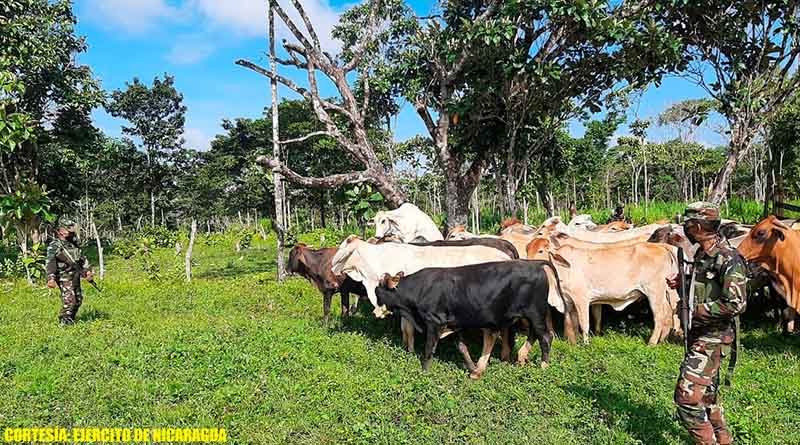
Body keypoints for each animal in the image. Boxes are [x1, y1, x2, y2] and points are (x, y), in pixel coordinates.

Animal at [528, 234, 680, 346]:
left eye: (541, 250)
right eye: (528, 249)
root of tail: (661, 247)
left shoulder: (582, 299)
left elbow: (584, 323)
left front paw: (586, 344)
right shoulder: (568, 300)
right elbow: (572, 323)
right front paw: (574, 343)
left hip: (654, 292)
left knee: (659, 316)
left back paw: (652, 342)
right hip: (665, 291)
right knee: (668, 314)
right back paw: (662, 340)